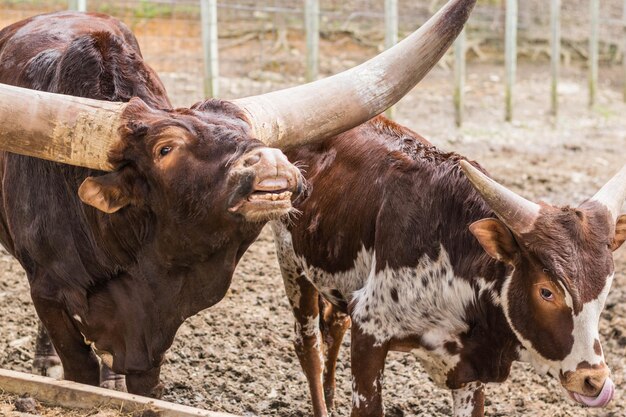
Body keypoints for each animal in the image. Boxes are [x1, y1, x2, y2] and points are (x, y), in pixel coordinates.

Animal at [0, 0, 470, 396]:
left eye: (250, 132)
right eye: (165, 149)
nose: (273, 162)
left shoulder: (152, 333)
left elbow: (142, 382)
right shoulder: (48, 292)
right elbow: (78, 370)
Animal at [274, 114, 624, 416]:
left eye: (606, 288)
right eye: (546, 291)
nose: (592, 380)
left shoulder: (471, 370)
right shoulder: (370, 330)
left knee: (333, 324)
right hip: (291, 261)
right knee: (309, 346)